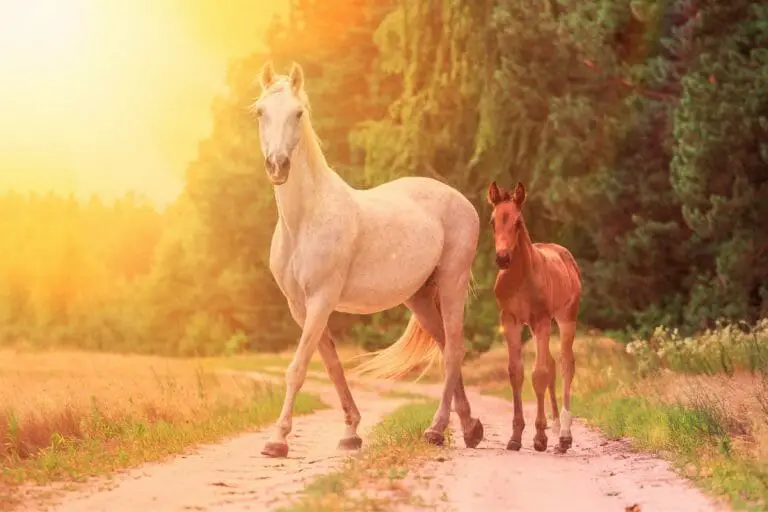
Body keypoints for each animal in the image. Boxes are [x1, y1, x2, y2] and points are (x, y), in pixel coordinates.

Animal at [252, 61, 484, 458]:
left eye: (298, 113)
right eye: (260, 112)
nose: (278, 165)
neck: (305, 220)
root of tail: (460, 200)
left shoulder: (322, 300)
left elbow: (298, 367)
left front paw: (277, 440)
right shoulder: (300, 306)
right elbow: (331, 365)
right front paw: (350, 432)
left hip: (452, 281)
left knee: (454, 349)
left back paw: (436, 430)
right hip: (420, 297)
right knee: (444, 349)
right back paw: (469, 428)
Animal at [487, 180, 582, 454]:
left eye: (517, 222)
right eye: (493, 221)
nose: (502, 258)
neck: (521, 277)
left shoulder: (541, 320)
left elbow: (539, 374)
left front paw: (540, 437)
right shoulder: (510, 320)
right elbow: (516, 372)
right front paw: (516, 436)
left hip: (565, 318)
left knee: (565, 364)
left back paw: (565, 436)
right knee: (551, 364)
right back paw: (557, 428)